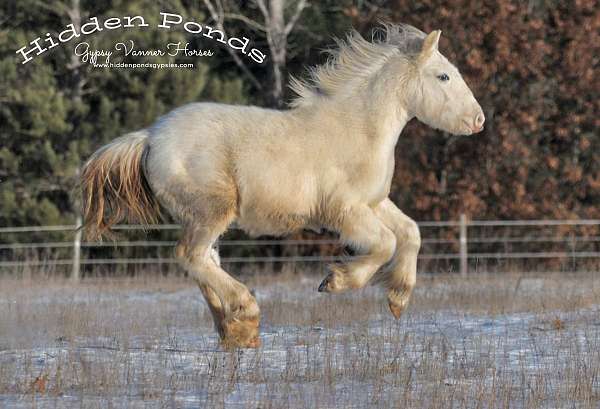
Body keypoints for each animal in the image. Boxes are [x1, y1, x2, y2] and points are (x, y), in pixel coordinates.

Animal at [81, 23, 482, 348]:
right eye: (444, 77)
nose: (478, 121)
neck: (360, 130)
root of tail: (150, 136)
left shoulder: (374, 202)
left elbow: (411, 233)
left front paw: (398, 300)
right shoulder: (344, 211)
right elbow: (385, 243)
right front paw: (334, 282)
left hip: (202, 217)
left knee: (205, 260)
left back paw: (236, 330)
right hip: (212, 209)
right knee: (190, 256)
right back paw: (245, 310)